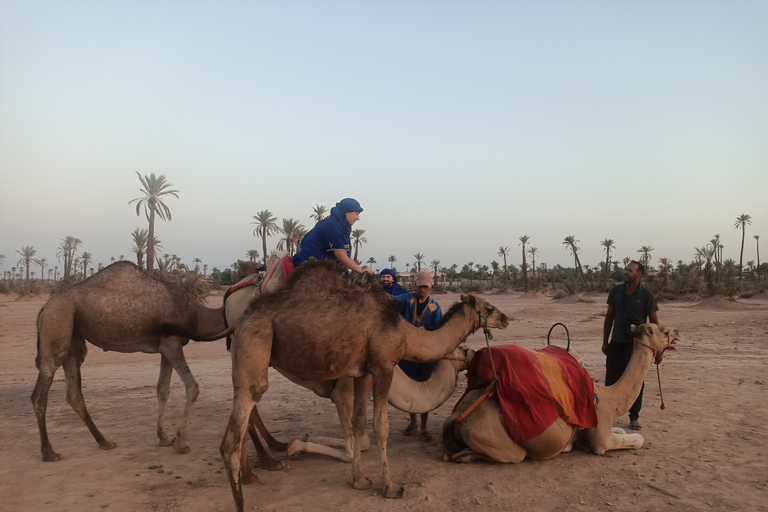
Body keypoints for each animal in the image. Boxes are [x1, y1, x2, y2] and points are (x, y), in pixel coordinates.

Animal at [30, 262, 234, 462]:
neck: (198, 316)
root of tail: (45, 307)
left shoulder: (165, 347)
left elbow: (163, 389)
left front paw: (164, 438)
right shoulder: (172, 343)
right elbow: (192, 386)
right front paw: (181, 443)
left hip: (73, 338)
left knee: (74, 391)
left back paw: (104, 442)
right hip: (57, 322)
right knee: (41, 390)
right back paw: (49, 452)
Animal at [220, 260, 510, 512]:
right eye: (488, 307)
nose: (506, 318)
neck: (407, 334)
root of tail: (241, 317)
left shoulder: (361, 372)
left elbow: (358, 425)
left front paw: (359, 480)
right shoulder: (383, 365)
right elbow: (380, 427)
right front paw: (391, 487)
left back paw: (262, 465)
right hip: (255, 340)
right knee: (232, 437)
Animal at [438, 324, 680, 464]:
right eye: (664, 331)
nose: (677, 333)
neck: (610, 398)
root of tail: (458, 416)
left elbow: (621, 430)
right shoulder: (600, 440)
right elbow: (637, 439)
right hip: (500, 443)